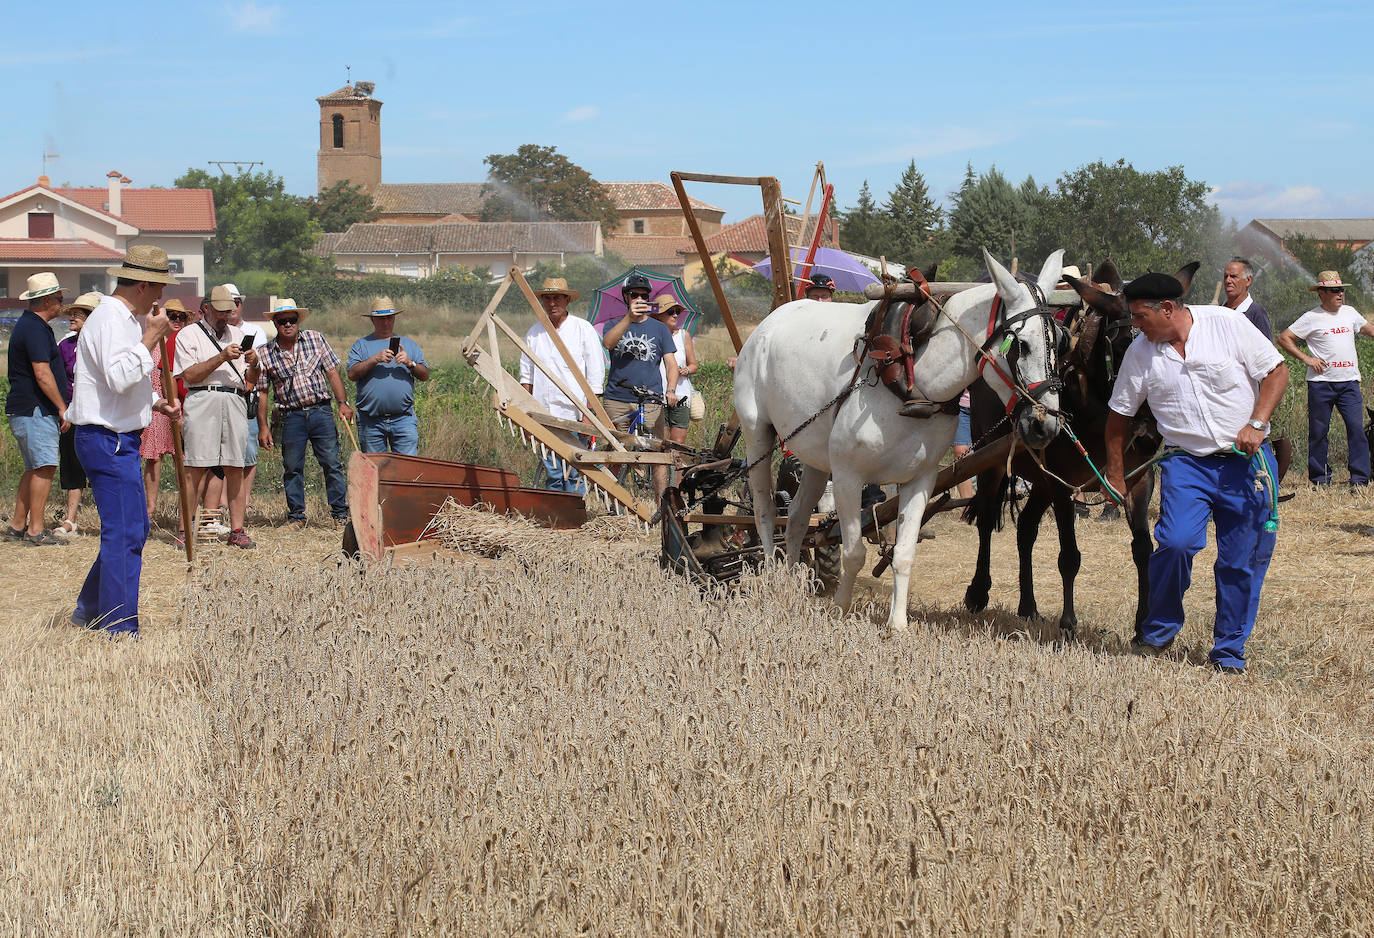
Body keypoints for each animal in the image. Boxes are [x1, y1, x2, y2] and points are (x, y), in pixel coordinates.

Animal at [736, 247, 1066, 631]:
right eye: (1022, 345)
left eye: (1061, 340)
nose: (1046, 426)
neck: (911, 382)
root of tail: (768, 323)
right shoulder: (847, 476)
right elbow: (853, 553)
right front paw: (841, 608)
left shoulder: (920, 479)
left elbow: (904, 553)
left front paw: (897, 624)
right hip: (757, 436)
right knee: (765, 513)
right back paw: (774, 581)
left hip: (815, 459)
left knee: (797, 520)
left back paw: (790, 584)